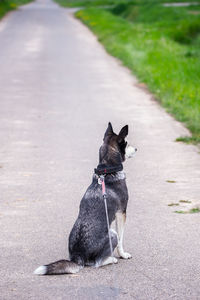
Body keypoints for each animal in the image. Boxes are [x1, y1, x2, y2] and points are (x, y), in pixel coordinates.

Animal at [34, 123, 137, 276]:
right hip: (111, 234)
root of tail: (78, 257)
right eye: (127, 143)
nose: (136, 149)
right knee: (97, 263)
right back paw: (112, 259)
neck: (107, 171)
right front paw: (123, 255)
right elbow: (121, 239)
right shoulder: (121, 213)